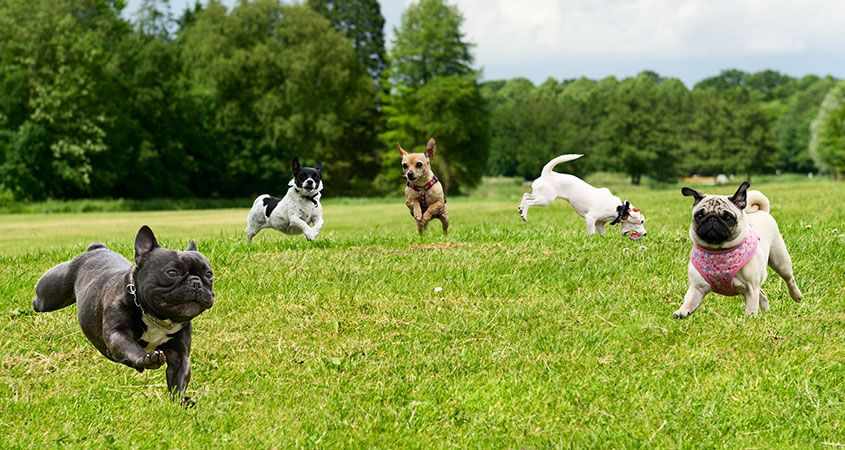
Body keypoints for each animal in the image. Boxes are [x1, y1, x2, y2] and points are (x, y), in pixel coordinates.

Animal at [32, 225, 214, 404]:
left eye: (209, 274)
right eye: (172, 272)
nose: (196, 282)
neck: (156, 317)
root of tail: (96, 249)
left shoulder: (180, 355)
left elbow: (178, 380)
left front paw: (179, 402)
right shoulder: (118, 335)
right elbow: (132, 348)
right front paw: (147, 358)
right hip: (50, 294)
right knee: (40, 300)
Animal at [516, 154, 644, 241]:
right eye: (642, 221)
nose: (646, 234)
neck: (619, 208)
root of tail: (547, 173)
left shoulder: (600, 224)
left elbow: (603, 234)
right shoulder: (590, 219)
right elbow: (591, 233)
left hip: (540, 195)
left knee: (525, 195)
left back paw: (521, 209)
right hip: (545, 200)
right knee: (528, 201)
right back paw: (524, 215)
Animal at [672, 181, 796, 318]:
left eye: (727, 217)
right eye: (699, 215)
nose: (712, 218)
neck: (718, 250)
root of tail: (761, 212)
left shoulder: (751, 288)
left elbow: (751, 307)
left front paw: (749, 319)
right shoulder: (697, 287)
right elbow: (689, 301)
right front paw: (682, 311)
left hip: (781, 261)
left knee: (789, 279)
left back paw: (797, 296)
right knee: (762, 294)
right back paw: (766, 312)